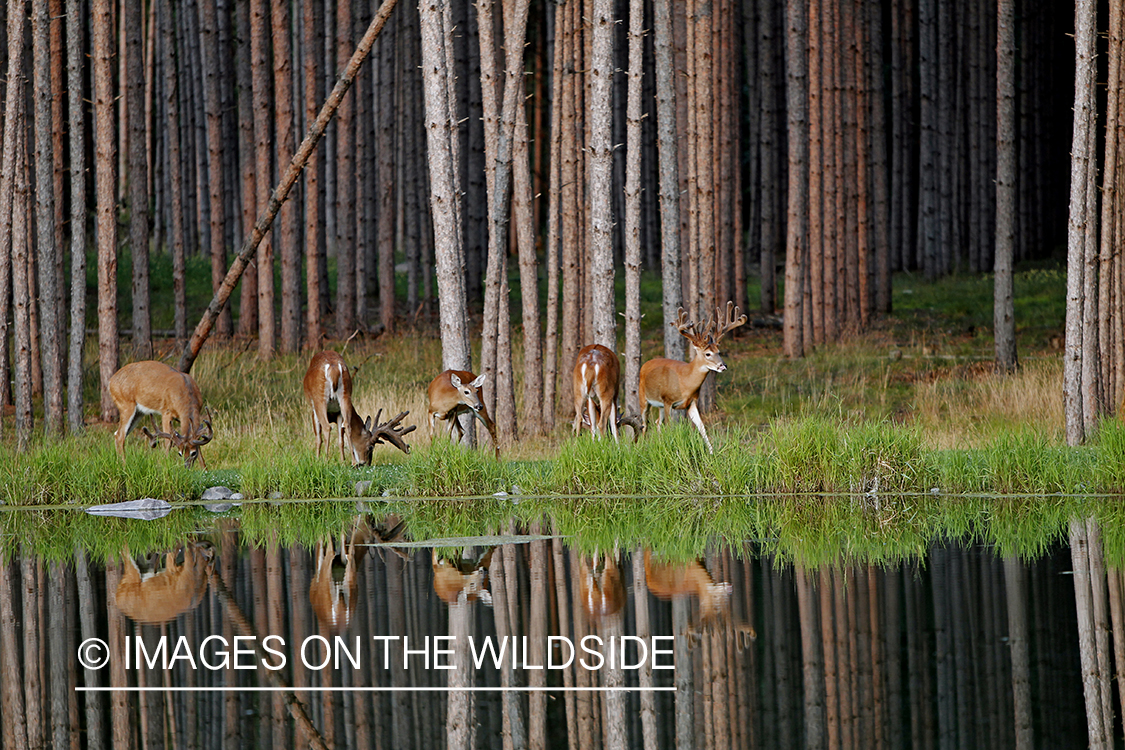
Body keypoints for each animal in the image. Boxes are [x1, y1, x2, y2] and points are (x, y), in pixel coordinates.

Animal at [639, 301, 742, 454]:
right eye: (708, 354)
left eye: (719, 351)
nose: (723, 366)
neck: (685, 381)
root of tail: (645, 364)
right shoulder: (668, 400)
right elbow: (670, 427)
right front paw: (674, 451)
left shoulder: (692, 402)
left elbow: (702, 427)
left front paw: (712, 453)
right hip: (644, 398)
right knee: (644, 424)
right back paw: (641, 447)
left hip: (660, 405)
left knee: (657, 422)